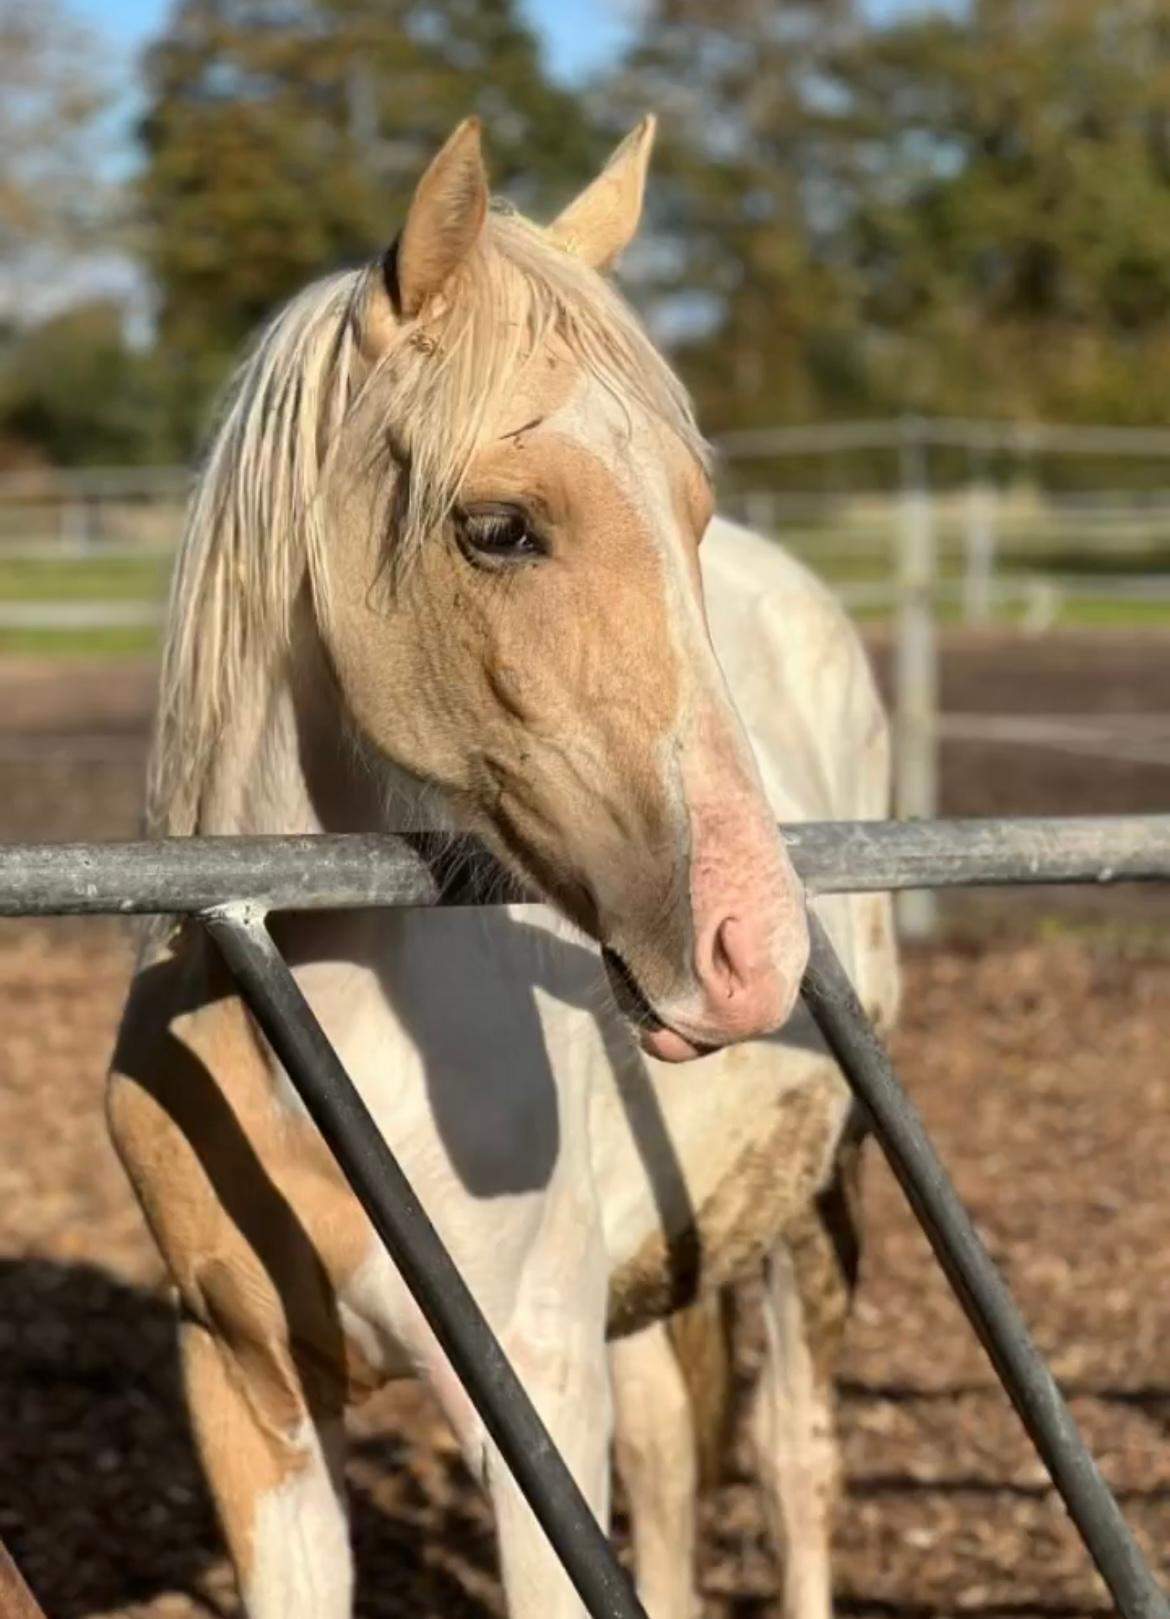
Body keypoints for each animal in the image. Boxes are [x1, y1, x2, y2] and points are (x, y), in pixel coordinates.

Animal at [108, 116, 898, 1619]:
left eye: (691, 512)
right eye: (499, 526)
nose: (752, 946)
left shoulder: (534, 1410)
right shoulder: (248, 1399)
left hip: (807, 1204)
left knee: (793, 1461)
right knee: (671, 1458)